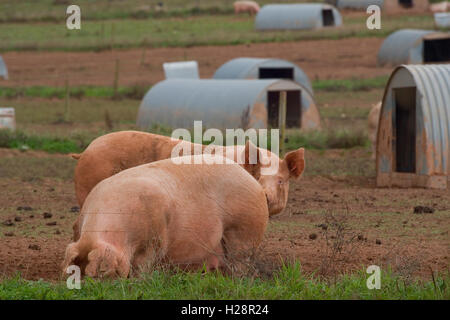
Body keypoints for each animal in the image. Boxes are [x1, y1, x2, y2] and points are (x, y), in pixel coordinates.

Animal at [62, 155, 274, 278]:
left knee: (241, 259)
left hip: (244, 228)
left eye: (100, 273)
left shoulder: (156, 235)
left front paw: (139, 279)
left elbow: (145, 261)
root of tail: (252, 180)